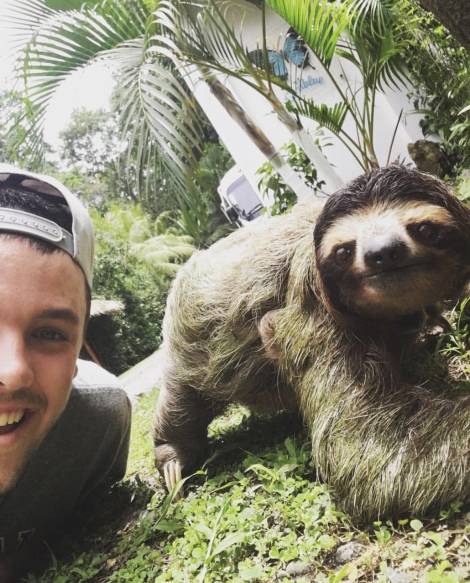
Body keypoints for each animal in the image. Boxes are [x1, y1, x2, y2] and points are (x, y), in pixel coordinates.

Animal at [153, 165, 470, 521]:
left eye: (425, 229)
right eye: (344, 251)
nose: (382, 252)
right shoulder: (309, 299)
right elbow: (368, 447)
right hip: (185, 339)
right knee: (183, 399)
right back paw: (172, 455)